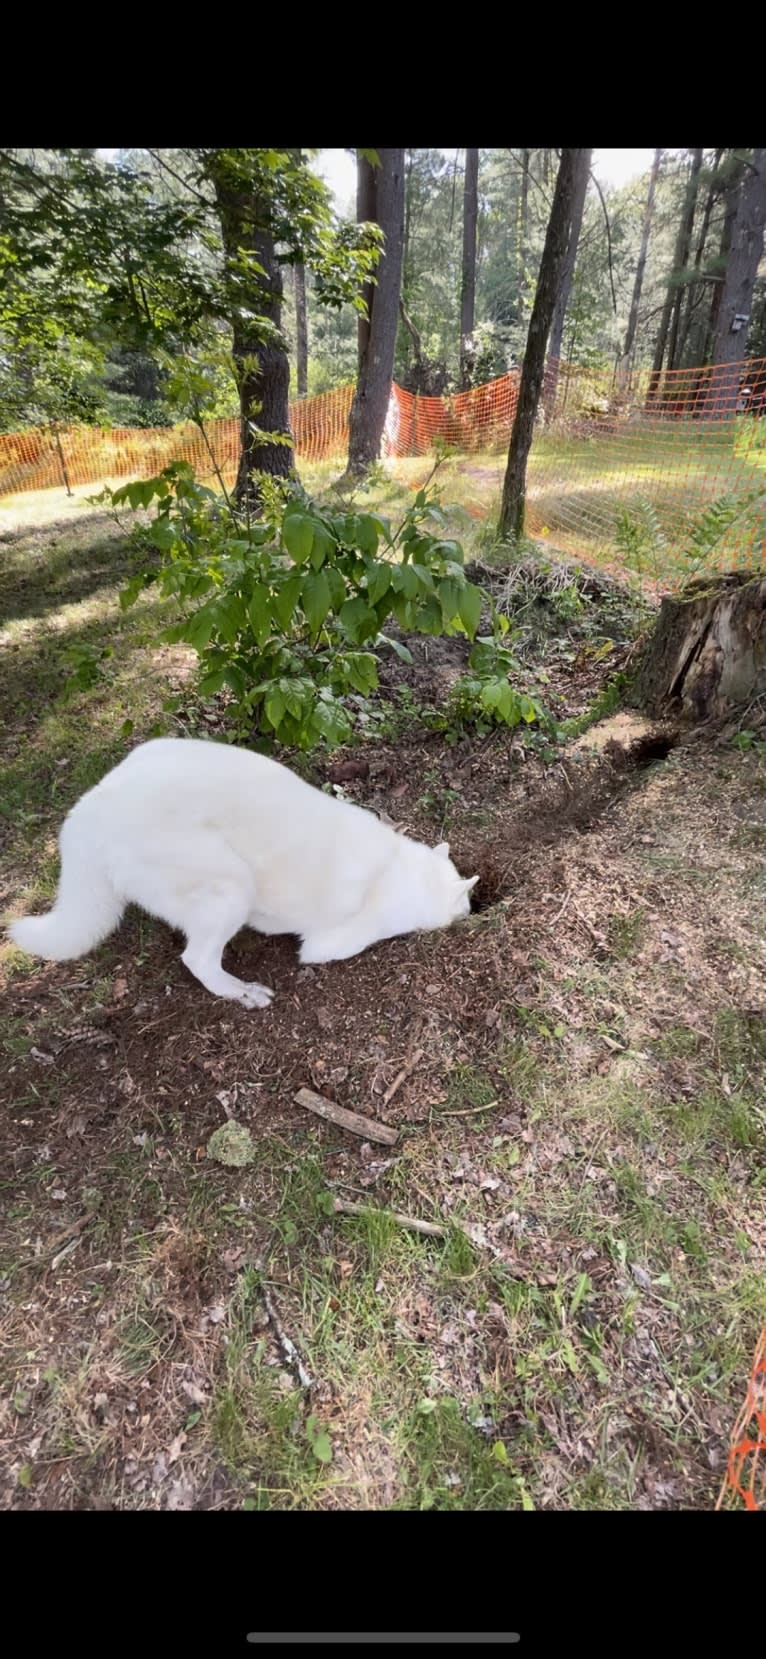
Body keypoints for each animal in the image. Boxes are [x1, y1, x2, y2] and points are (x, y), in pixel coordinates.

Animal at [10, 743, 477, 1002]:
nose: (474, 912)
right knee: (197, 960)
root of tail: (89, 810)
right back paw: (240, 992)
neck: (400, 871)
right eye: (467, 905)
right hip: (231, 886)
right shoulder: (332, 944)